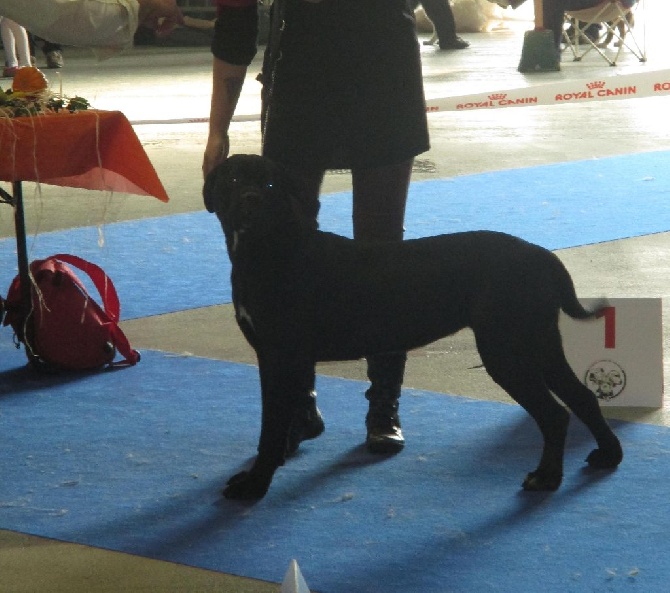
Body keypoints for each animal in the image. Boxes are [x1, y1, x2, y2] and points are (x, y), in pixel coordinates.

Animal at [205, 154, 624, 500]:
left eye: (269, 184)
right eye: (233, 178)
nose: (250, 200)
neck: (269, 250)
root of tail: (542, 255)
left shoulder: (281, 356)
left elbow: (270, 429)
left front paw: (254, 485)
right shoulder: (275, 358)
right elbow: (276, 423)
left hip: (507, 350)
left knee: (553, 414)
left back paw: (547, 478)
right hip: (538, 342)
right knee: (581, 398)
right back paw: (608, 455)